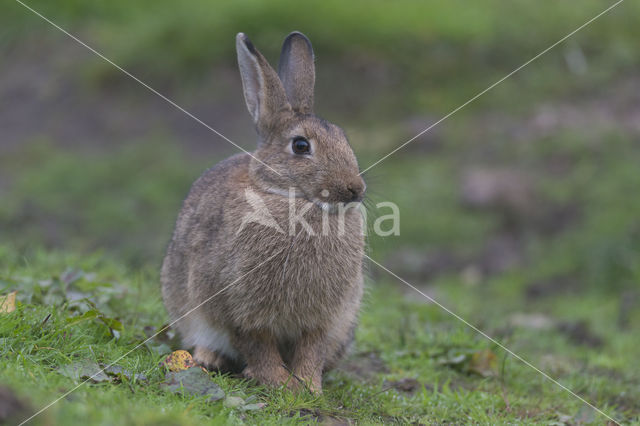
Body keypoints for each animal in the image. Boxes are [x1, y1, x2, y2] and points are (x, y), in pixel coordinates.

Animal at [161, 31, 364, 394]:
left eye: (343, 138)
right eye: (301, 146)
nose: (356, 188)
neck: (293, 200)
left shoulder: (324, 319)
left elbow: (311, 349)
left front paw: (307, 388)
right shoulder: (237, 311)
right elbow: (258, 347)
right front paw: (278, 384)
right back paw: (209, 359)